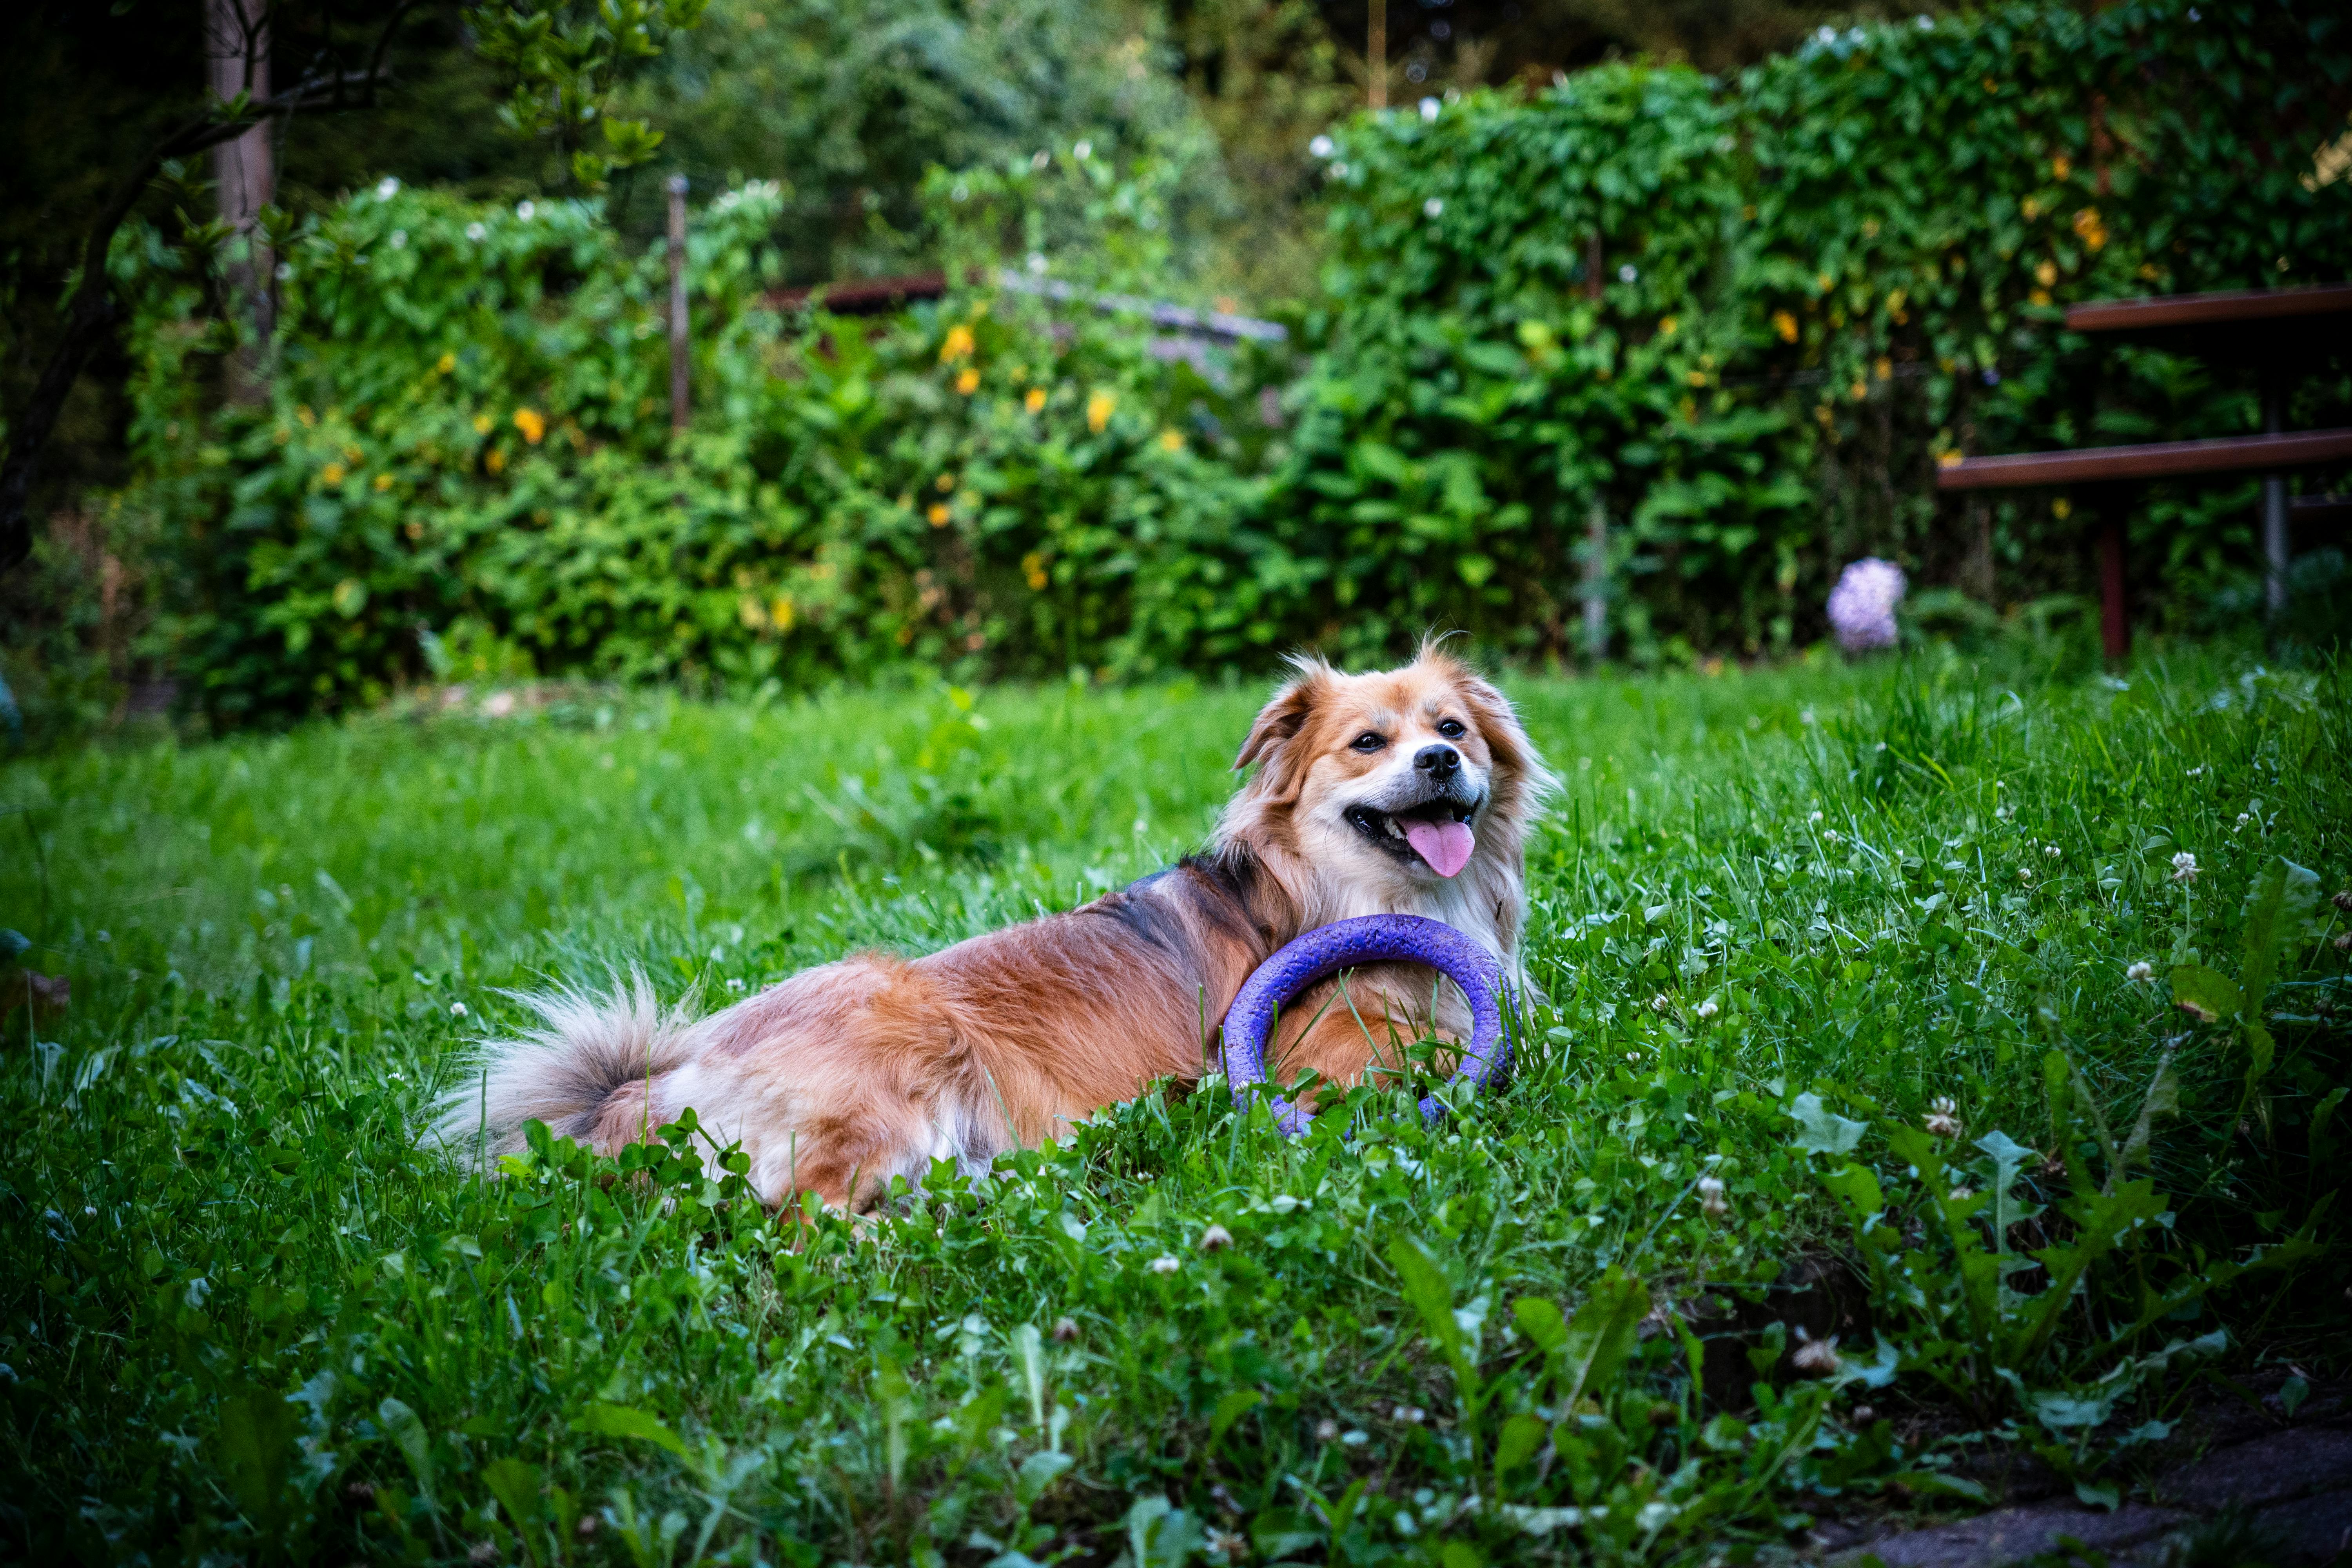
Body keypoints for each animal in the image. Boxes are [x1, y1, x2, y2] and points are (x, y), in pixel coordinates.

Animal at [433, 644, 1552, 1213]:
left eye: (1452, 729)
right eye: (1368, 743)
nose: (1442, 762)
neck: (1351, 896)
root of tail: (641, 1088)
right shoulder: (1321, 1060)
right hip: (898, 1042)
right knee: (807, 1226)